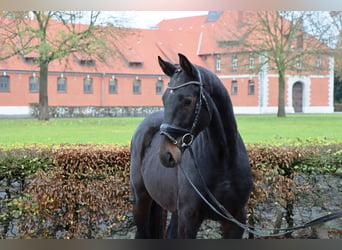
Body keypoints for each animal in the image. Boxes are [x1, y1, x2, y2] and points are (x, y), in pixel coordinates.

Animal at [130, 53, 252, 238]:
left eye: (187, 101)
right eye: (164, 99)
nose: (166, 154)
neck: (224, 160)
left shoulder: (235, 221)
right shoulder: (189, 218)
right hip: (141, 201)